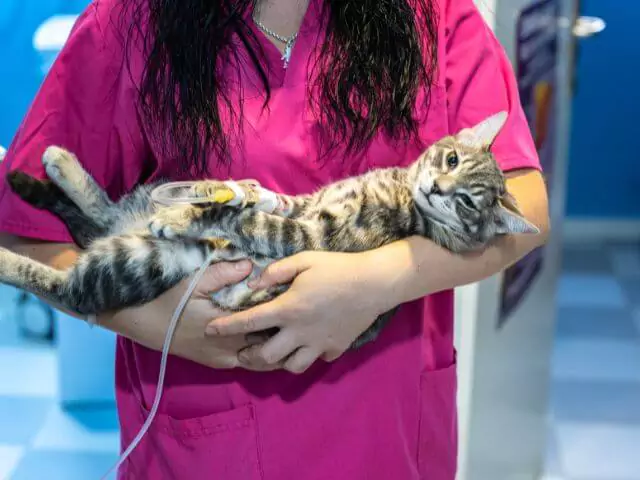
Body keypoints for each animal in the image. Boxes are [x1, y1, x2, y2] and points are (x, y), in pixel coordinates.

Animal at [0, 112, 540, 348]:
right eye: (451, 159)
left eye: (467, 201)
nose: (436, 187)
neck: (400, 192)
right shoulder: (306, 203)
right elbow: (264, 200)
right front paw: (229, 192)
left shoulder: (311, 237)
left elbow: (247, 220)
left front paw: (186, 217)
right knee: (105, 213)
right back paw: (59, 163)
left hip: (136, 262)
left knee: (69, 290)